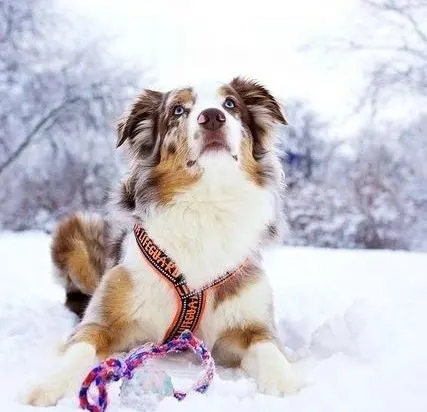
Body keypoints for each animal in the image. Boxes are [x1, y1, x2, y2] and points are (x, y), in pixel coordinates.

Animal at [25, 77, 302, 406]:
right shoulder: (101, 323)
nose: (212, 117)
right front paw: (49, 385)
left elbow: (270, 350)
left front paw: (285, 383)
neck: (206, 201)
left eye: (230, 104)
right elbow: (78, 348)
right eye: (178, 110)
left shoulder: (252, 326)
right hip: (75, 230)